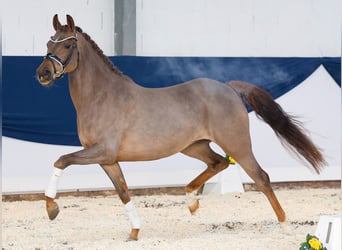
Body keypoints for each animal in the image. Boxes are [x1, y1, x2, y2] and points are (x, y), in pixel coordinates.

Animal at [36, 15, 324, 240]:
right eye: (49, 42)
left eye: (69, 43)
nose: (44, 74)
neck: (101, 96)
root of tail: (229, 88)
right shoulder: (108, 159)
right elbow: (123, 192)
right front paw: (134, 232)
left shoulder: (102, 151)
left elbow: (61, 160)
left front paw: (52, 209)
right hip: (194, 146)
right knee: (218, 163)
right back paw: (191, 201)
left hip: (237, 144)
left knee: (260, 177)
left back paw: (284, 226)